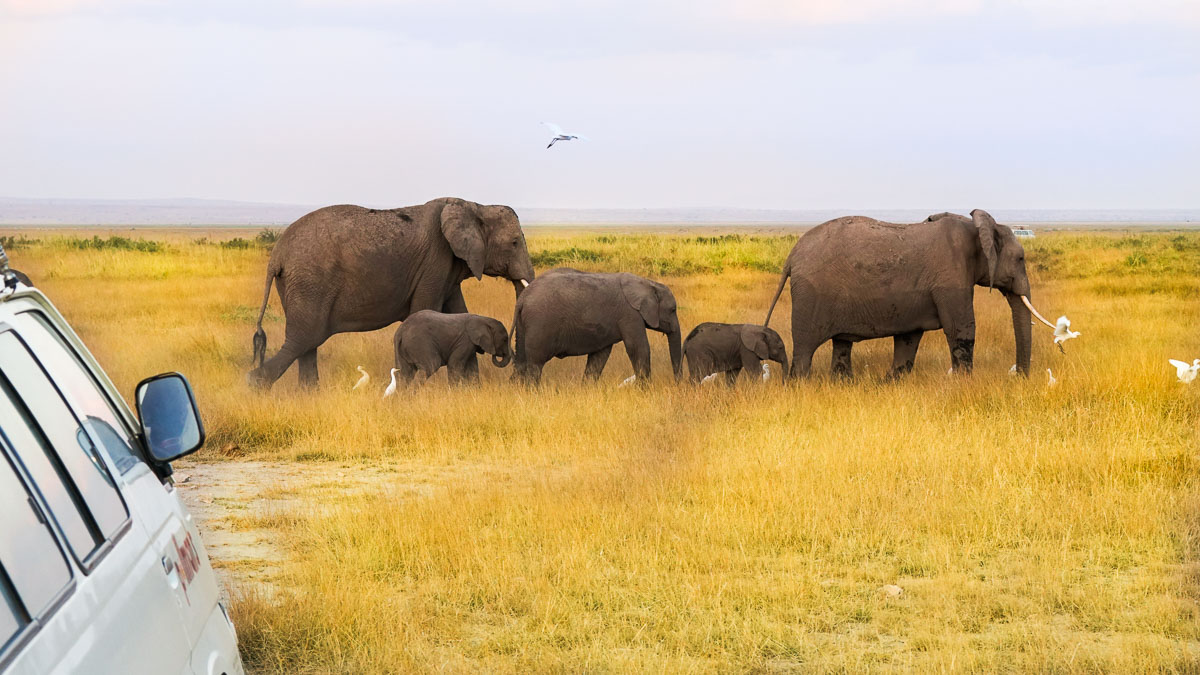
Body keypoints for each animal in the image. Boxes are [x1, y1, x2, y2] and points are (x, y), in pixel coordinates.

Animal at [248, 194, 535, 386]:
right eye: (514, 243)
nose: (514, 376)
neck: (475, 206)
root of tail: (277, 255)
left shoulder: (450, 266)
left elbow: (459, 314)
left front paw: (471, 390)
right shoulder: (434, 262)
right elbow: (426, 310)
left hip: (298, 284)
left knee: (307, 342)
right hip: (309, 282)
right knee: (304, 338)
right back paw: (256, 384)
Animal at [513, 267, 686, 384]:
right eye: (672, 310)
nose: (677, 384)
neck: (649, 284)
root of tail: (523, 297)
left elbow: (599, 356)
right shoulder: (630, 314)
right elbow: (638, 348)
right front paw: (645, 390)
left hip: (523, 324)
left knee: (522, 360)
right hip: (539, 323)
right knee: (535, 364)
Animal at [763, 208, 1056, 374]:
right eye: (1020, 259)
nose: (1018, 376)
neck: (976, 228)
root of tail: (792, 257)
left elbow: (908, 338)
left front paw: (892, 382)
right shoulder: (951, 277)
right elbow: (962, 330)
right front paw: (965, 384)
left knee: (842, 345)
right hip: (811, 297)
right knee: (805, 350)